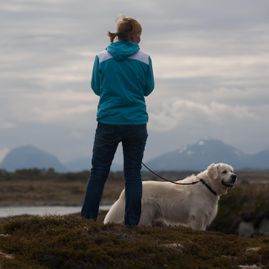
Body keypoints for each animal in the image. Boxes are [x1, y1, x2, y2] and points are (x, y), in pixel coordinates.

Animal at [103, 162, 236, 229]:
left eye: (232, 171)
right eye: (224, 171)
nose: (234, 176)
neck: (207, 185)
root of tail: (124, 191)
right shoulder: (198, 215)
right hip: (145, 214)